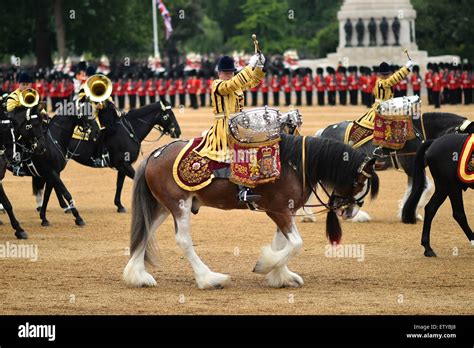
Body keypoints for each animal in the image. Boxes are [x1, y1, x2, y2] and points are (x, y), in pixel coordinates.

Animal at [34, 98, 181, 212]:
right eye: (169, 113)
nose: (178, 132)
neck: (129, 130)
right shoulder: (124, 164)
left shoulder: (123, 165)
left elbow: (119, 184)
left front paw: (119, 205)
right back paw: (63, 206)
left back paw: (63, 206)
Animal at [124, 135, 380, 290]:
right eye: (359, 182)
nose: (350, 211)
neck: (294, 164)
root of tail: (156, 153)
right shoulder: (279, 211)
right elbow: (295, 244)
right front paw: (266, 265)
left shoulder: (281, 211)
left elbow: (282, 243)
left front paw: (280, 275)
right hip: (179, 205)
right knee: (183, 241)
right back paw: (208, 278)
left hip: (162, 207)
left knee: (145, 233)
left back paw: (138, 276)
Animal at [314, 113, 474, 222]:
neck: (420, 133)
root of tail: (323, 132)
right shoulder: (411, 167)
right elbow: (425, 186)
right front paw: (407, 212)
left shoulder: (412, 169)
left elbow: (419, 187)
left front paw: (409, 210)